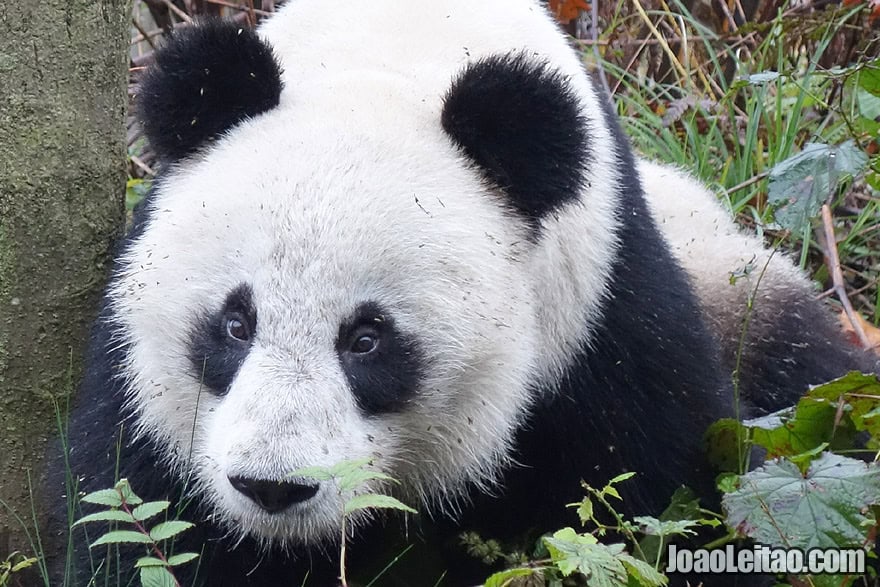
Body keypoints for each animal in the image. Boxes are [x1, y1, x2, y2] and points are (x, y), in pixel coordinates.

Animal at [51, 1, 876, 587]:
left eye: (367, 338)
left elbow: (668, 502)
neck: (396, 50)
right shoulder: (142, 399)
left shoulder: (600, 324)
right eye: (234, 323)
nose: (273, 487)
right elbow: (134, 517)